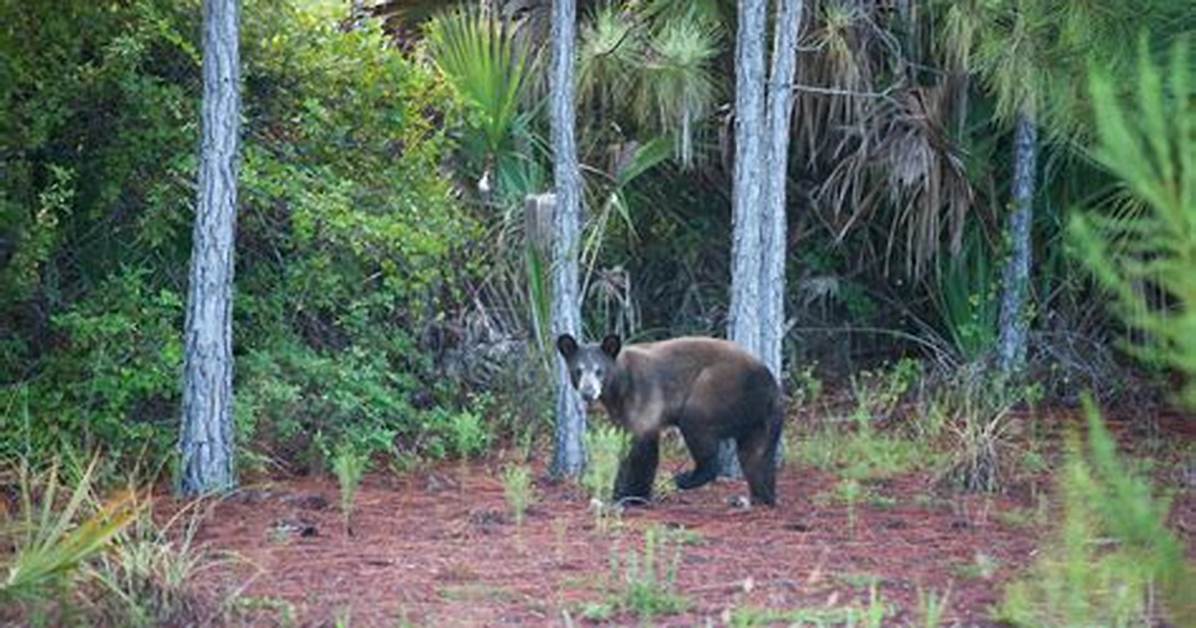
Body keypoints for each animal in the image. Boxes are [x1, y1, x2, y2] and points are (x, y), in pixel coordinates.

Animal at [556, 333, 783, 506]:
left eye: (599, 371)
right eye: (578, 370)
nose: (588, 392)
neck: (619, 386)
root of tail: (772, 385)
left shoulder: (643, 394)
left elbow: (640, 450)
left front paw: (628, 497)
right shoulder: (621, 413)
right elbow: (633, 447)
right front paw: (625, 494)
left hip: (719, 387)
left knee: (696, 423)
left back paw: (686, 479)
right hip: (759, 419)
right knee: (755, 455)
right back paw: (761, 497)